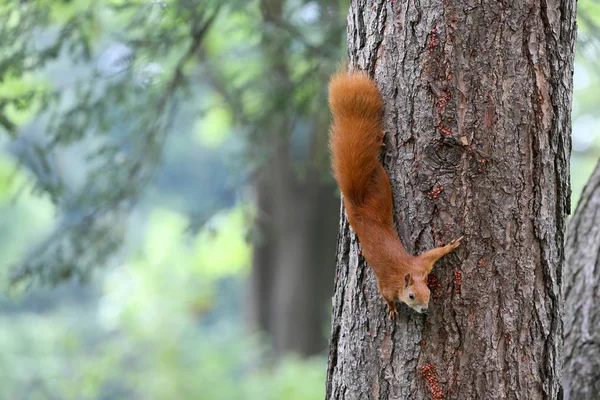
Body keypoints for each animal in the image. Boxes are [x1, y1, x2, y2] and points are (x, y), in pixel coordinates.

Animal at [326, 70, 462, 318]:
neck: (406, 273)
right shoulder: (389, 285)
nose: (425, 310)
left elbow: (433, 254)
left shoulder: (421, 265)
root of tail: (358, 204)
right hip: (382, 191)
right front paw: (391, 309)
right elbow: (386, 296)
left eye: (429, 292)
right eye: (411, 296)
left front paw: (450, 245)